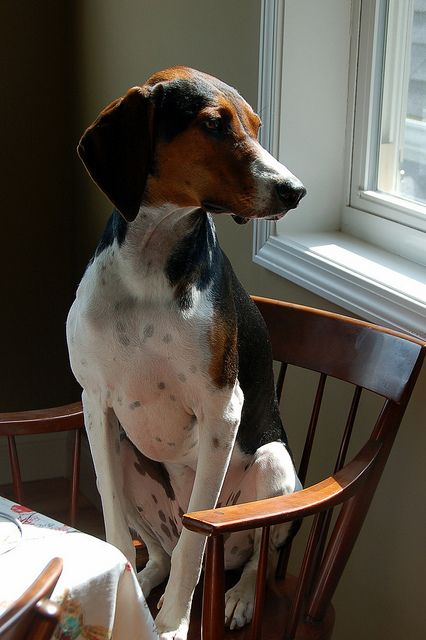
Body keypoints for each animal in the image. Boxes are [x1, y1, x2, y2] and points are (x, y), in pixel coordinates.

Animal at [66, 67, 304, 636]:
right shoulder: (96, 406)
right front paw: (126, 599)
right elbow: (111, 523)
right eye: (214, 124)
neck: (151, 263)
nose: (296, 191)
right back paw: (144, 580)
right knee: (161, 552)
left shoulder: (222, 411)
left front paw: (174, 621)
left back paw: (237, 597)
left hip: (273, 465)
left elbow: (199, 546)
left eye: (256, 127)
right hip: (126, 456)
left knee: (251, 556)